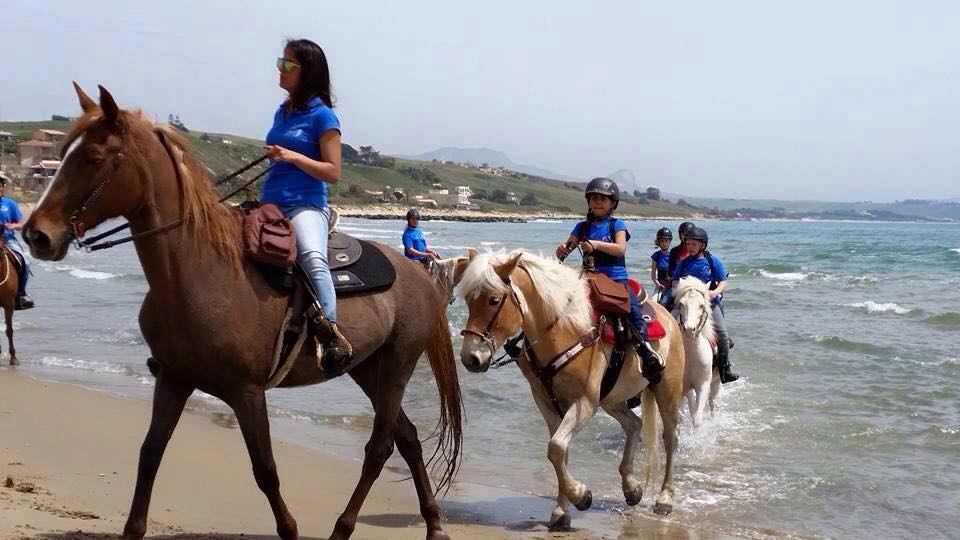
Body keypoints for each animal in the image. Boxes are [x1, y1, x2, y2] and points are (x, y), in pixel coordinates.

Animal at [18, 83, 462, 540]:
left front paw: (290, 528)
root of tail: (419, 274)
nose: (37, 235)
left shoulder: (247, 393)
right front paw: (132, 528)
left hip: (396, 368)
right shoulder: (173, 378)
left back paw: (344, 527)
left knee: (380, 448)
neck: (197, 271)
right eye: (63, 152)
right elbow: (150, 453)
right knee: (408, 439)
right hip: (368, 369)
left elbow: (265, 470)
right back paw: (433, 524)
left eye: (93, 158)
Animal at [456, 251, 684, 528]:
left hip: (667, 390)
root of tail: (668, 317)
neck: (563, 329)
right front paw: (562, 511)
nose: (470, 358)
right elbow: (559, 453)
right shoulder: (547, 403)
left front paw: (581, 496)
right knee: (633, 424)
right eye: (469, 300)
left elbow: (555, 447)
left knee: (670, 439)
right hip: (611, 400)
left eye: (494, 300)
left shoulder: (583, 403)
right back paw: (631, 488)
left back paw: (664, 498)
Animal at [676, 276, 720, 428]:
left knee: (712, 403)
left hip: (716, 383)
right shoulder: (682, 387)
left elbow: (697, 418)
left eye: (701, 305)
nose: (689, 329)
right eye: (681, 304)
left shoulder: (703, 384)